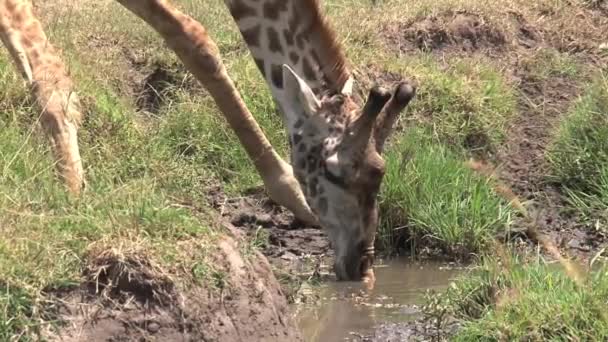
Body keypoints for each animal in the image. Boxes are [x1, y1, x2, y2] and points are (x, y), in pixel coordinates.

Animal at [0, 0, 414, 282]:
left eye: (379, 172)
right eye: (332, 171)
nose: (362, 267)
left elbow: (194, 38)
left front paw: (290, 193)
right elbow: (47, 72)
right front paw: (72, 197)